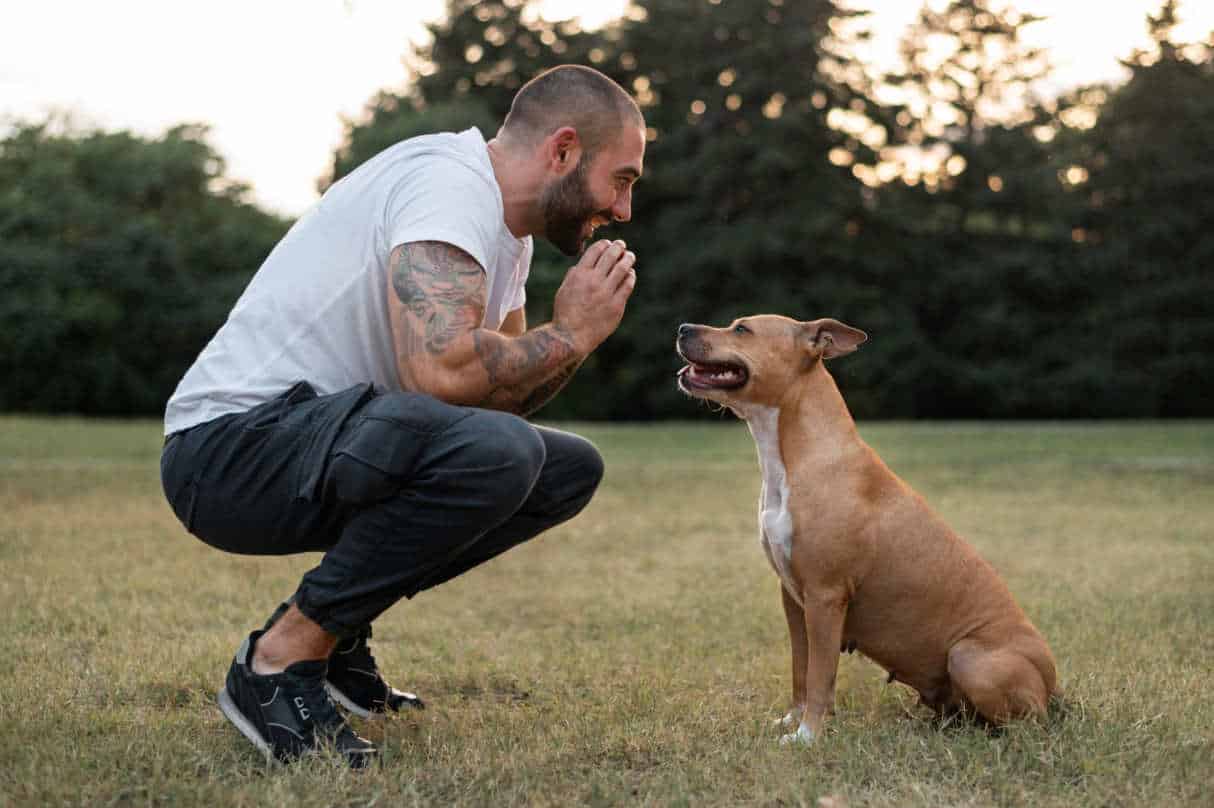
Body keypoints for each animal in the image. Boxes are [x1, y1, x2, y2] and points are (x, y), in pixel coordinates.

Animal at [679, 315, 1058, 742]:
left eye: (742, 329)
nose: (682, 328)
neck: (794, 454)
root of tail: (1054, 684)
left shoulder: (826, 596)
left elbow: (820, 675)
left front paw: (807, 736)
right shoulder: (793, 597)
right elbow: (800, 669)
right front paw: (792, 721)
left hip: (970, 656)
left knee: (1026, 722)